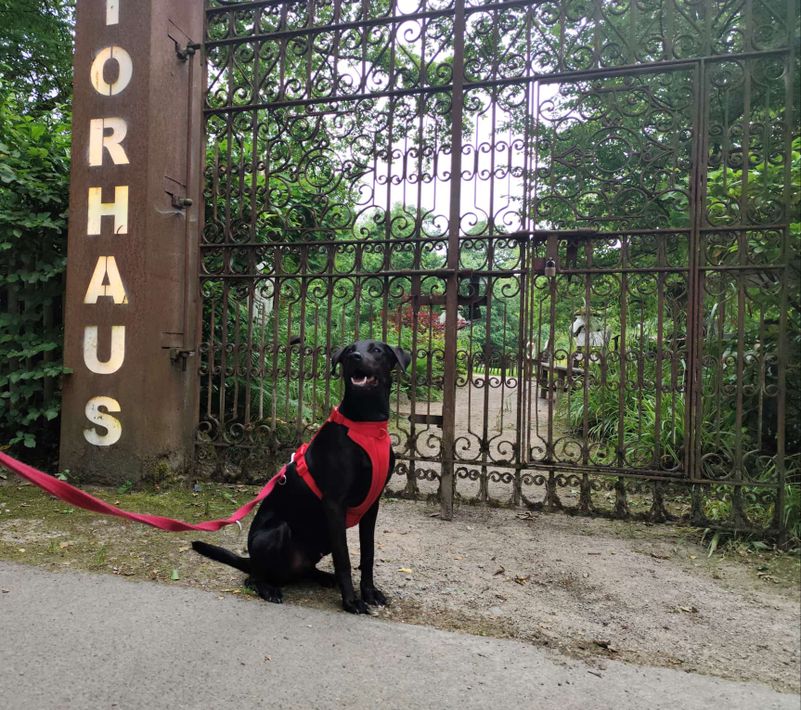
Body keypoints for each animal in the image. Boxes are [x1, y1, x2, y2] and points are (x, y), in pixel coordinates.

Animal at [192, 340, 410, 614]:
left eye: (377, 350)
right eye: (350, 350)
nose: (356, 357)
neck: (367, 425)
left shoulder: (372, 505)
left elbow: (367, 554)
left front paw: (369, 592)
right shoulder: (334, 504)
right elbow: (344, 558)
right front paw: (351, 601)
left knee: (305, 570)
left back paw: (323, 577)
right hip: (277, 532)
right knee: (253, 577)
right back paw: (268, 588)